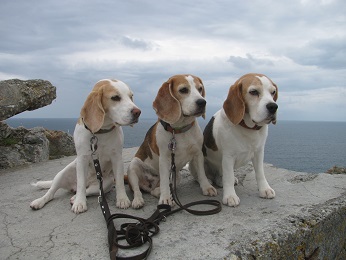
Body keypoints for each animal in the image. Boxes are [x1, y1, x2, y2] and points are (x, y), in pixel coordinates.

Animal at [30, 78, 141, 213]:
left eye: (131, 97)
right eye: (115, 97)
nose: (137, 112)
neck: (100, 132)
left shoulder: (117, 158)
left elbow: (119, 181)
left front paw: (122, 199)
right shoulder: (82, 158)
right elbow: (81, 184)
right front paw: (80, 203)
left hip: (107, 183)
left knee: (89, 191)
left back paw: (74, 197)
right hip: (63, 173)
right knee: (53, 192)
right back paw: (40, 201)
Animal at [127, 74, 216, 208]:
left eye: (200, 89)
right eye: (183, 90)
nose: (202, 102)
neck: (179, 130)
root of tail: (151, 183)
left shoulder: (198, 154)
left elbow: (201, 173)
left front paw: (206, 187)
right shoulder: (164, 159)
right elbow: (164, 181)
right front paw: (165, 199)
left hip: (176, 176)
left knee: (156, 191)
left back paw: (161, 192)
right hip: (133, 166)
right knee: (137, 189)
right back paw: (139, 200)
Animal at [203, 73, 278, 207]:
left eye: (273, 92)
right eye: (253, 92)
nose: (273, 106)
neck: (249, 129)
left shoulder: (259, 153)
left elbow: (260, 173)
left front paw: (265, 189)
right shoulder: (228, 157)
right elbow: (228, 177)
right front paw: (230, 196)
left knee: (221, 176)